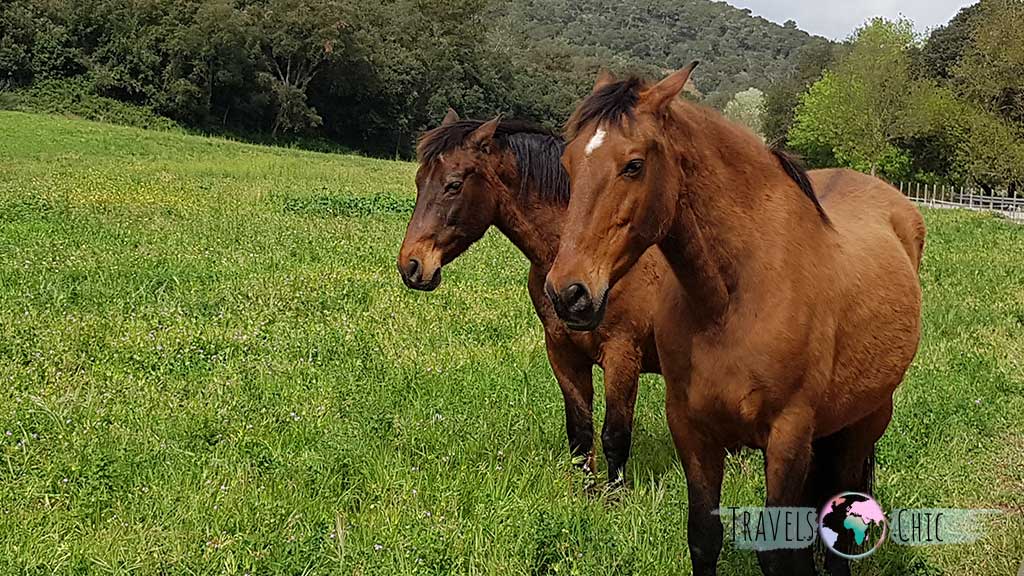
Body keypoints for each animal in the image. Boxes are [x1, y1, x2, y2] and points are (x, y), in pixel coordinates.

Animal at [397, 109, 674, 485]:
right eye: (419, 181)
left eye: (453, 184)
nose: (410, 265)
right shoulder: (563, 354)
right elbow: (580, 434)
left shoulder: (622, 356)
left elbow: (615, 438)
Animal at [544, 65, 925, 576]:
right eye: (568, 164)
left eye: (634, 165)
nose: (568, 293)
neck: (732, 300)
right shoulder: (692, 431)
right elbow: (704, 537)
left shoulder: (787, 437)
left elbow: (779, 552)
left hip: (866, 420)